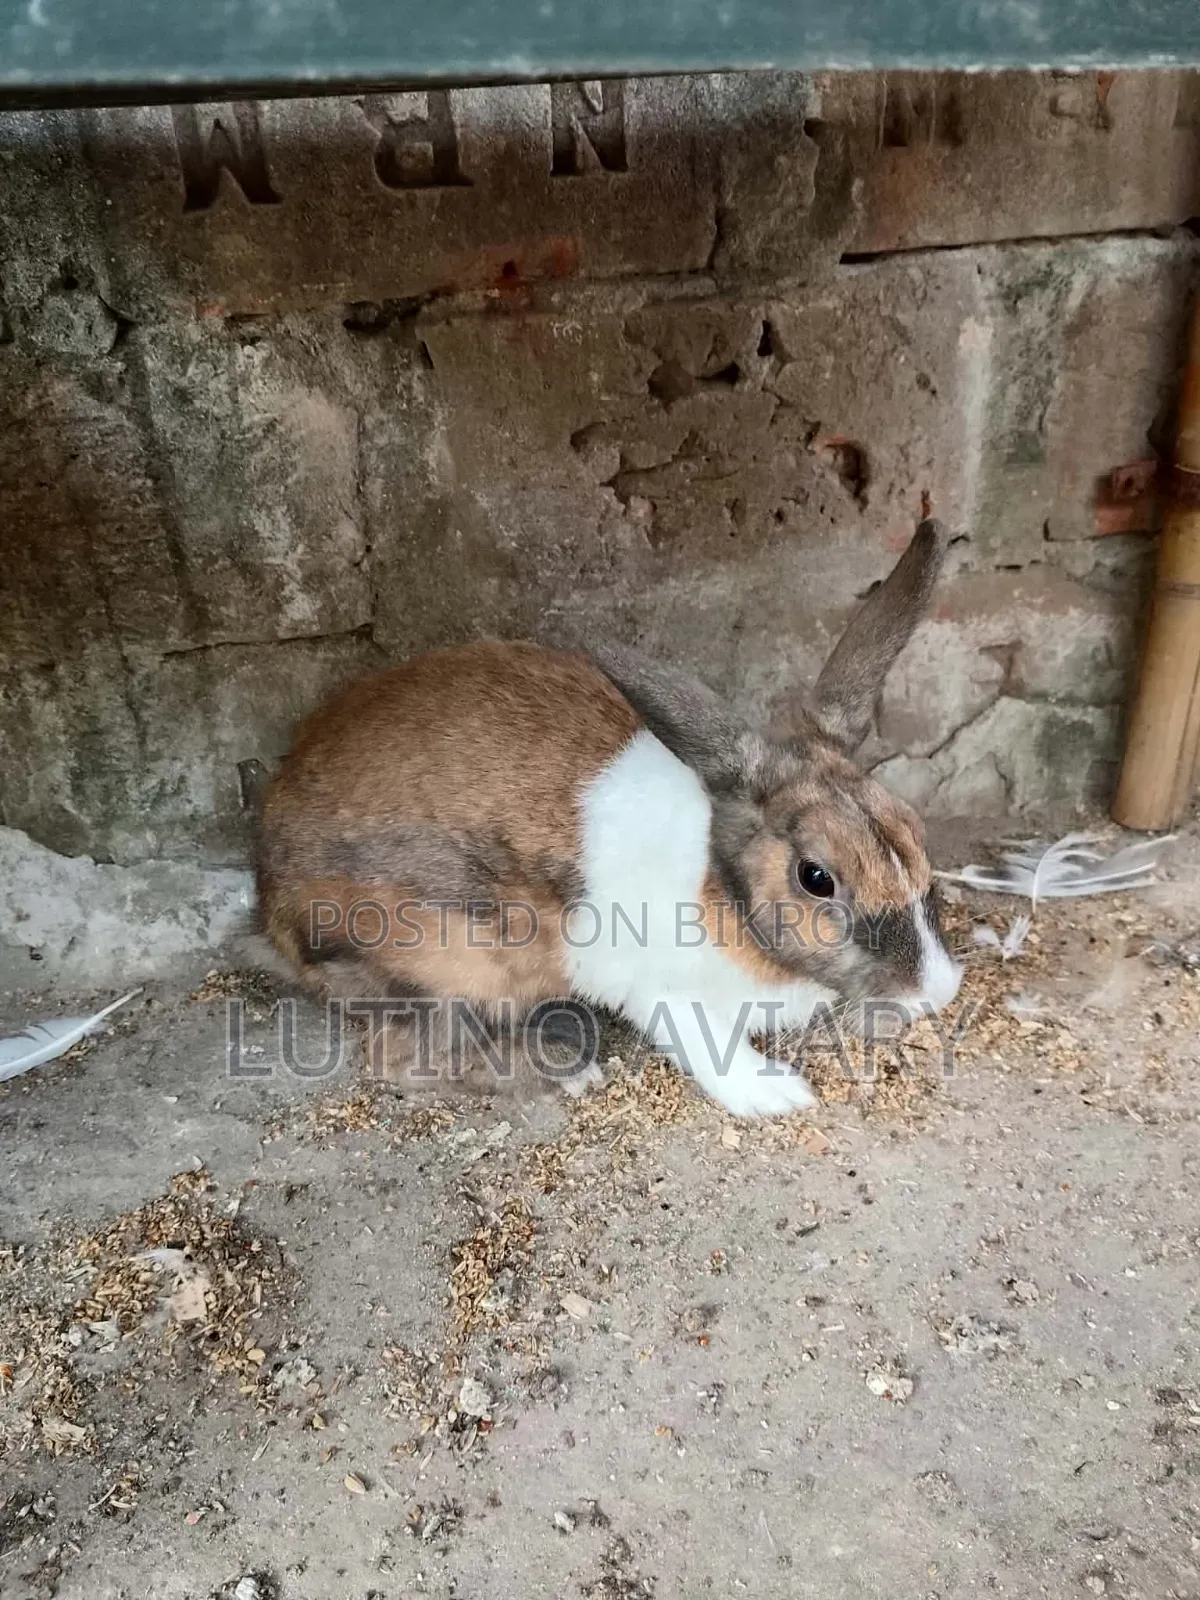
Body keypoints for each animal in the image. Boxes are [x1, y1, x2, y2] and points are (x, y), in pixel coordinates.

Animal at [256, 518, 961, 1117]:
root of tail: (269, 906)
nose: (939, 991)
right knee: (403, 1060)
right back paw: (564, 1071)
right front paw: (776, 1095)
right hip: (446, 966)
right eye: (816, 877)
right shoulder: (660, 989)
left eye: (916, 834)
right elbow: (705, 1045)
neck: (719, 888)